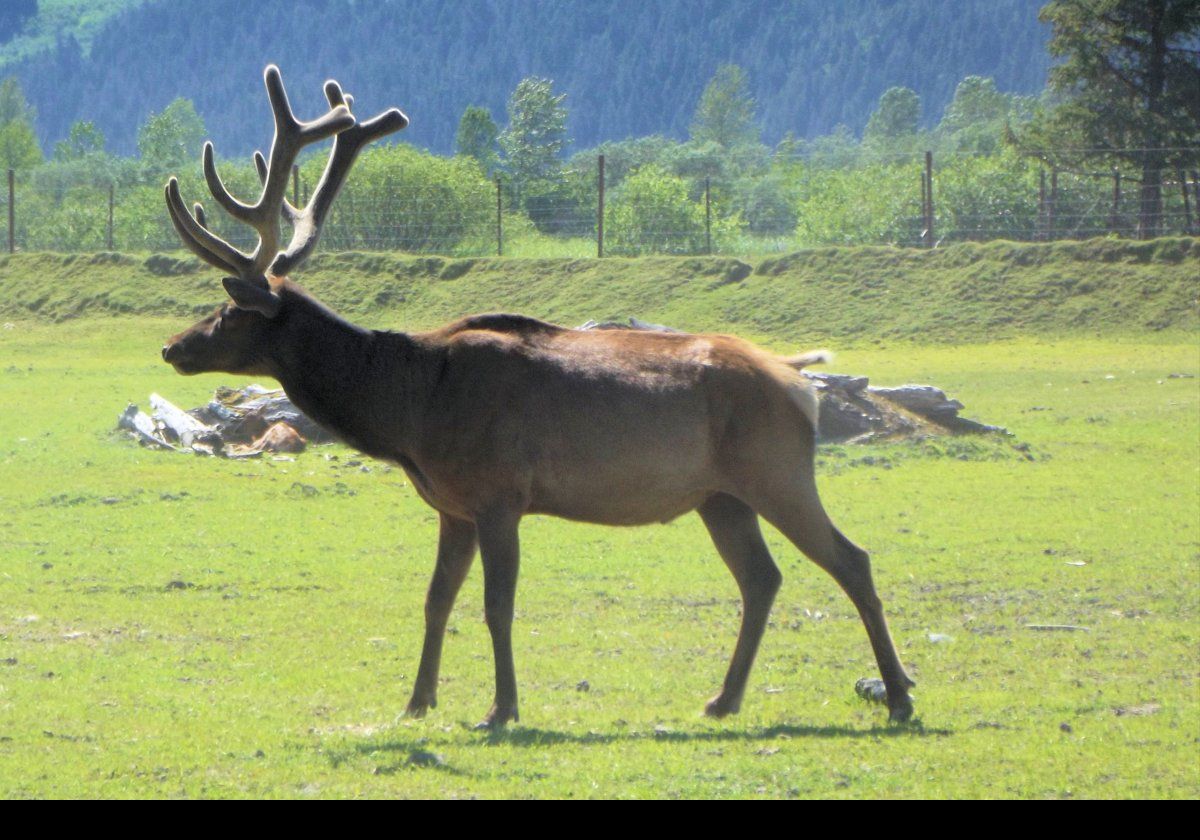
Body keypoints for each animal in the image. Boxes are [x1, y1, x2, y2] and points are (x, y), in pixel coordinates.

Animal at [157, 65, 907, 724]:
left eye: (228, 311)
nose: (172, 347)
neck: (410, 412)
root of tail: (801, 383)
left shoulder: (500, 494)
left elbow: (497, 606)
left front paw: (502, 708)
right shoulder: (453, 506)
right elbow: (435, 600)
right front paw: (417, 701)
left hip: (778, 470)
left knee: (853, 560)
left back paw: (898, 695)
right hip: (720, 495)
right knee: (762, 578)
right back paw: (723, 700)